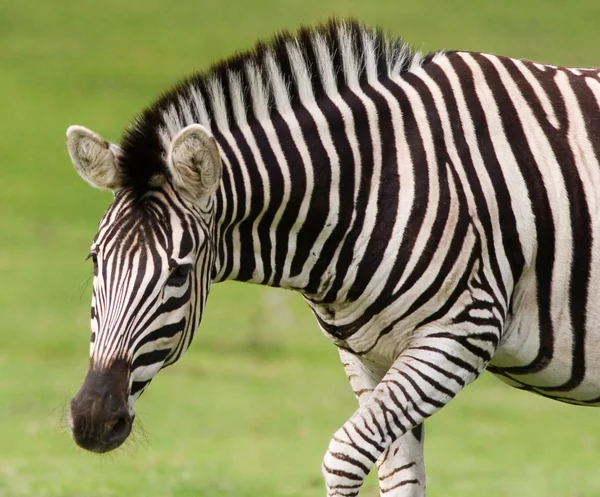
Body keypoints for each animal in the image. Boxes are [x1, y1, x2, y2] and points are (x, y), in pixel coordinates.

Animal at [65, 18, 600, 496]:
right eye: (94, 260)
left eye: (178, 273)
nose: (92, 420)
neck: (374, 187)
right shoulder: (370, 355)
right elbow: (398, 475)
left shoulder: (461, 333)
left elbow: (344, 456)